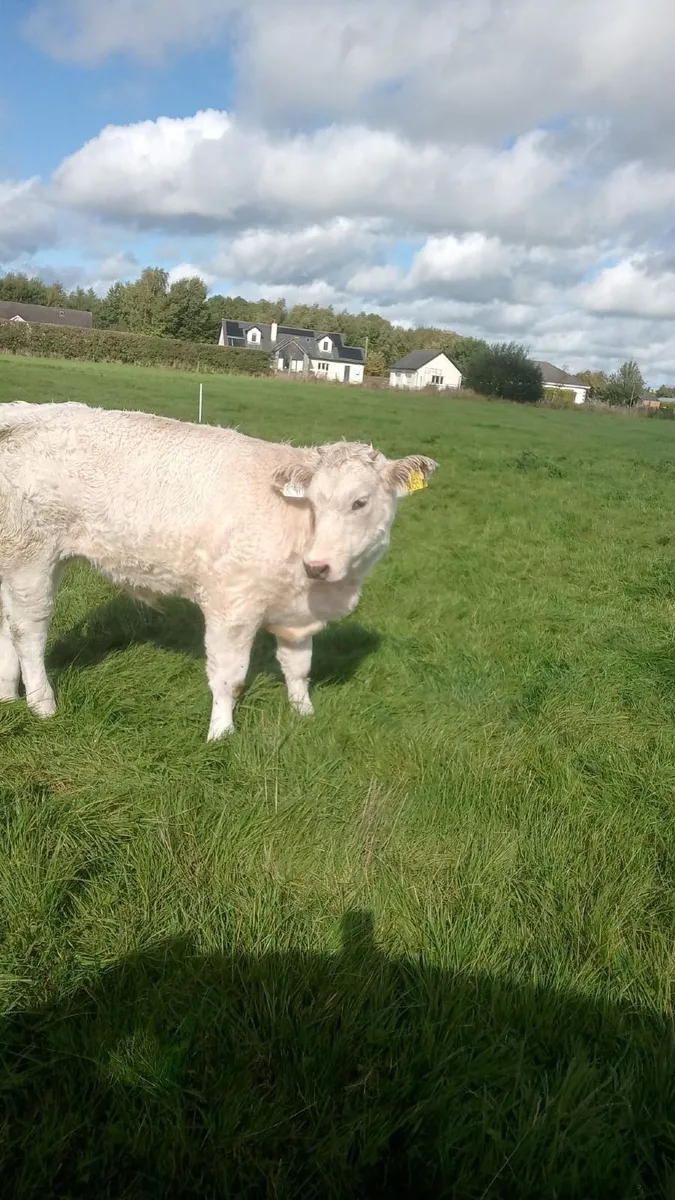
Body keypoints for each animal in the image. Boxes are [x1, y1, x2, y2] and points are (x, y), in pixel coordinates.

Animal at [0, 402, 437, 740]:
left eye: (360, 502)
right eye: (313, 502)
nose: (318, 565)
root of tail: (21, 411)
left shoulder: (297, 611)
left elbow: (299, 669)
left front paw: (304, 714)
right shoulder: (232, 605)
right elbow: (230, 677)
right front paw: (221, 735)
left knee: (7, 626)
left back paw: (8, 696)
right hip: (31, 554)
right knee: (29, 632)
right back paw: (42, 705)